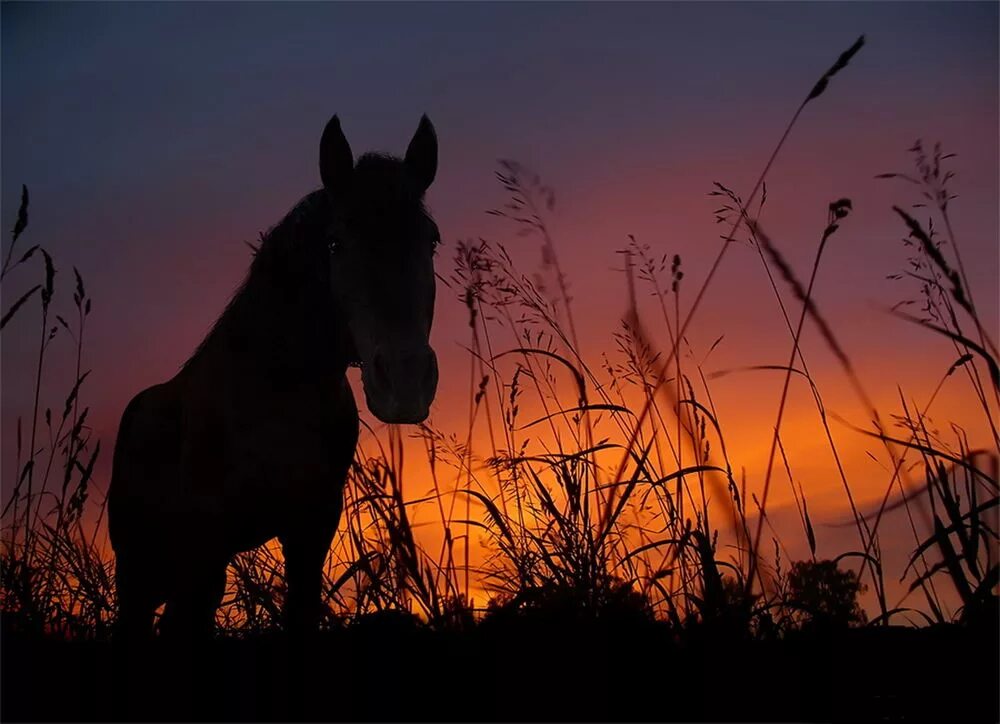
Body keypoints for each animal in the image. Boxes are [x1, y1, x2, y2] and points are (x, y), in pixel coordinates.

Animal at [107, 113, 440, 640]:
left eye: (431, 240)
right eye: (335, 242)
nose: (405, 381)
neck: (274, 389)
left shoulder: (309, 531)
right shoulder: (205, 545)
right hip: (141, 573)